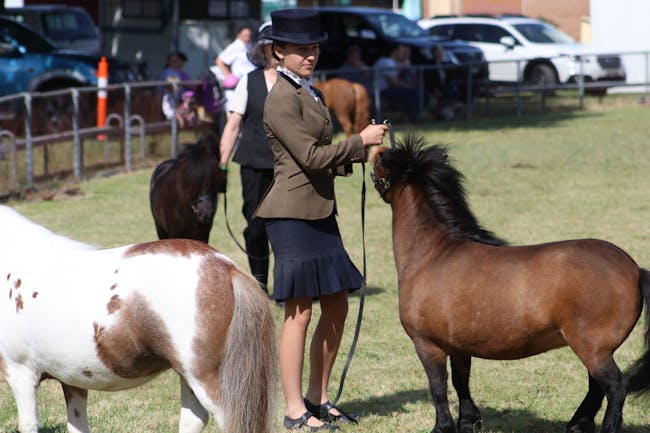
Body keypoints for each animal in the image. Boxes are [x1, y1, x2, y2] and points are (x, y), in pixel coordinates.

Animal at [0, 205, 276, 433]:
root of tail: (226, 267)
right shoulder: (72, 379)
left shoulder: (20, 372)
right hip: (189, 376)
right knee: (193, 420)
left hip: (210, 382)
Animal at [368, 135, 650, 433]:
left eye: (383, 160)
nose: (374, 148)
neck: (433, 253)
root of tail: (634, 269)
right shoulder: (457, 345)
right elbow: (460, 382)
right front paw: (469, 421)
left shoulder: (427, 344)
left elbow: (438, 388)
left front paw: (442, 426)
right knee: (597, 388)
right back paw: (576, 424)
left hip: (593, 349)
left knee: (615, 387)